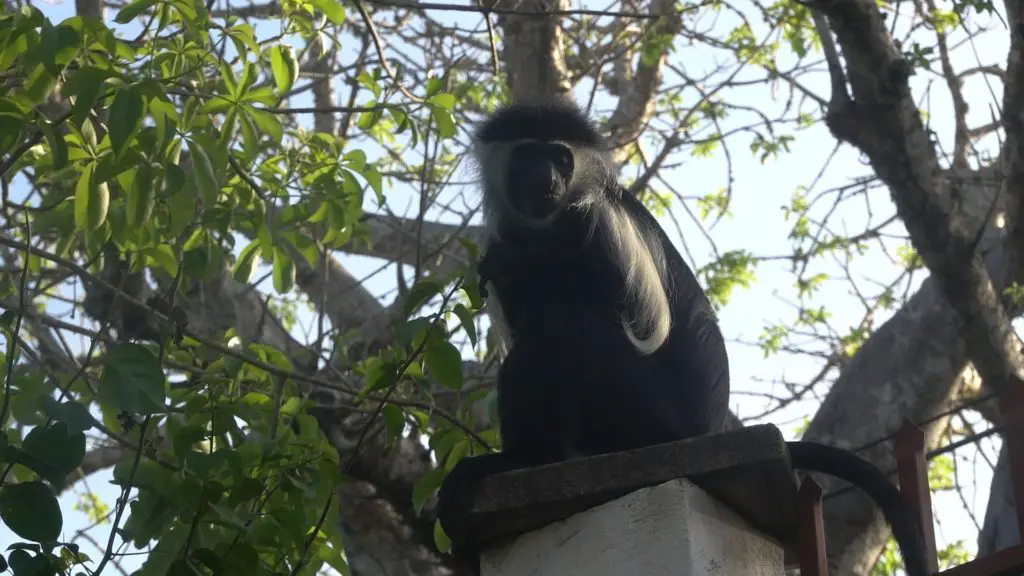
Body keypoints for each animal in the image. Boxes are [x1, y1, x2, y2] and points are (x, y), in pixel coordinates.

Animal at [436, 99, 933, 573]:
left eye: (560, 157)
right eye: (528, 156)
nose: (548, 178)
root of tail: (705, 427)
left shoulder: (598, 220)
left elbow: (624, 308)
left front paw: (531, 261)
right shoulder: (505, 232)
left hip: (651, 411)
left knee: (562, 321)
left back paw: (530, 458)